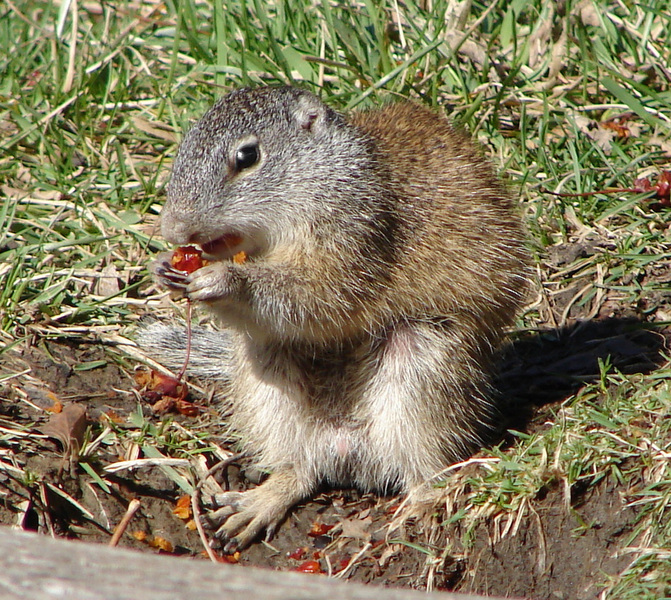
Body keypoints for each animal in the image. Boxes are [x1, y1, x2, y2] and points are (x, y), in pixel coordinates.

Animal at [142, 85, 532, 552]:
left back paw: (418, 506)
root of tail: (346, 447)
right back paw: (261, 501)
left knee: (427, 466)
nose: (173, 230)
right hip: (266, 377)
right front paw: (163, 268)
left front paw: (225, 279)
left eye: (248, 156)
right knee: (301, 468)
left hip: (420, 366)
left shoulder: (356, 236)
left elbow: (317, 294)